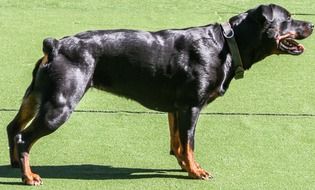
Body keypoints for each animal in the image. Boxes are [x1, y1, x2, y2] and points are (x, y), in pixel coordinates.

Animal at [6, 3, 314, 185]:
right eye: (289, 19)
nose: (311, 24)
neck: (228, 45)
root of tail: (55, 46)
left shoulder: (176, 108)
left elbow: (177, 142)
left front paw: (183, 165)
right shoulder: (191, 106)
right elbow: (190, 143)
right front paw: (196, 171)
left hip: (35, 96)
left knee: (13, 127)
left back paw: (14, 164)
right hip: (60, 104)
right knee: (25, 138)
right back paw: (28, 176)